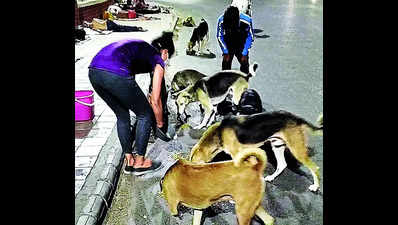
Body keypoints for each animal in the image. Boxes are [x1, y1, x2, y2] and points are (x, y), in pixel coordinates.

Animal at [189, 110, 324, 192]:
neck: (220, 133)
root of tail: (296, 118)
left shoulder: (238, 155)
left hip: (297, 150)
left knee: (314, 168)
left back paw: (315, 187)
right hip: (277, 145)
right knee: (282, 164)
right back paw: (271, 178)